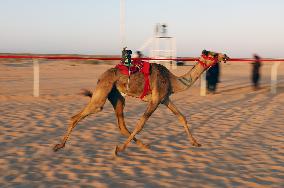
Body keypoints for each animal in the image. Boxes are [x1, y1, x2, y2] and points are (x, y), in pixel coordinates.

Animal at [53, 48, 229, 156]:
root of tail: (100, 77)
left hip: (117, 96)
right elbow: (141, 124)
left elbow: (182, 117)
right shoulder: (156, 100)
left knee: (122, 125)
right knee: (79, 116)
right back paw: (59, 146)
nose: (225, 56)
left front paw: (196, 143)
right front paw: (119, 149)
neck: (173, 81)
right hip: (103, 92)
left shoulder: (165, 99)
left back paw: (145, 145)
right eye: (214, 54)